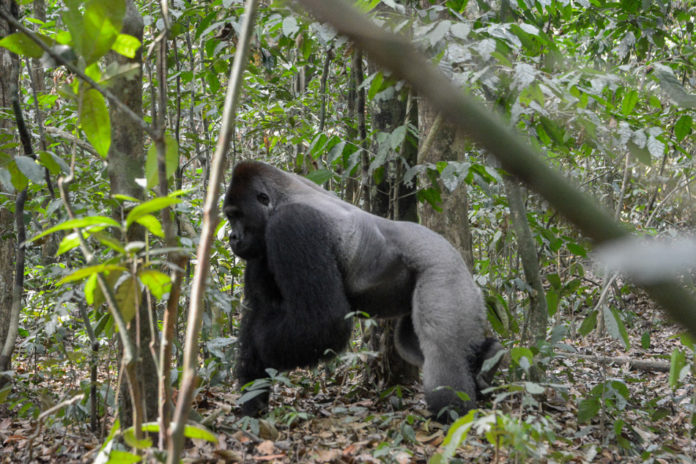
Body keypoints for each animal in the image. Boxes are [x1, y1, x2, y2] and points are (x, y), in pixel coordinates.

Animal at [223, 160, 500, 420]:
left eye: (237, 216)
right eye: (229, 217)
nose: (232, 237)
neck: (281, 197)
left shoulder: (291, 224)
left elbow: (323, 324)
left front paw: (260, 345)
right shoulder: (261, 250)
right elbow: (259, 311)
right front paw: (253, 399)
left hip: (444, 270)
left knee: (441, 349)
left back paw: (452, 411)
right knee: (410, 342)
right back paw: (487, 361)